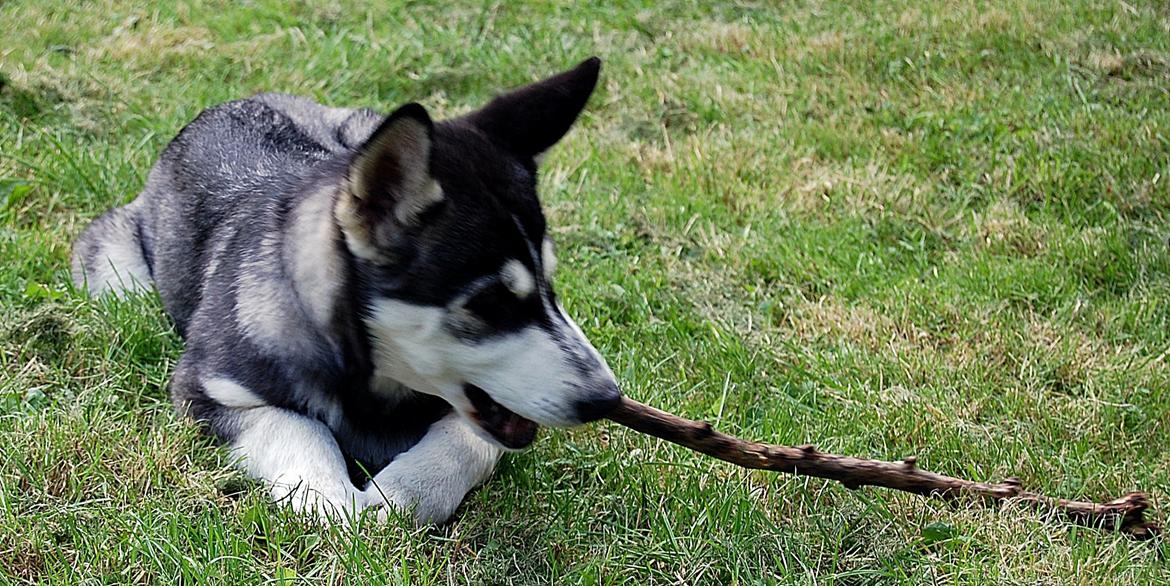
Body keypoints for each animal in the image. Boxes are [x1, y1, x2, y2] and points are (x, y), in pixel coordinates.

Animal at [69, 57, 622, 524]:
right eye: (490, 303)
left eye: (550, 284)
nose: (608, 399)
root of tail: (235, 102)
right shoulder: (206, 390)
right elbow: (298, 428)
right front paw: (331, 500)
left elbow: (467, 440)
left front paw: (403, 494)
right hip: (119, 260)